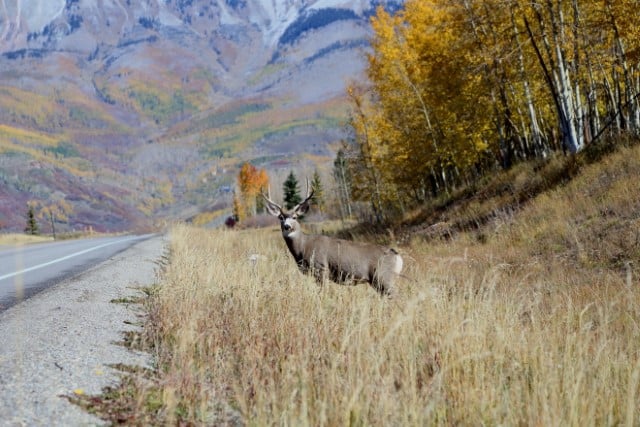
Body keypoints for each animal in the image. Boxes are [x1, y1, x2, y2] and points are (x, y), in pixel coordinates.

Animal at [262, 184, 402, 298]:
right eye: (281, 217)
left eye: (295, 217)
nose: (287, 226)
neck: (303, 247)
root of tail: (397, 256)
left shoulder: (321, 268)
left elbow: (323, 293)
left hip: (383, 277)